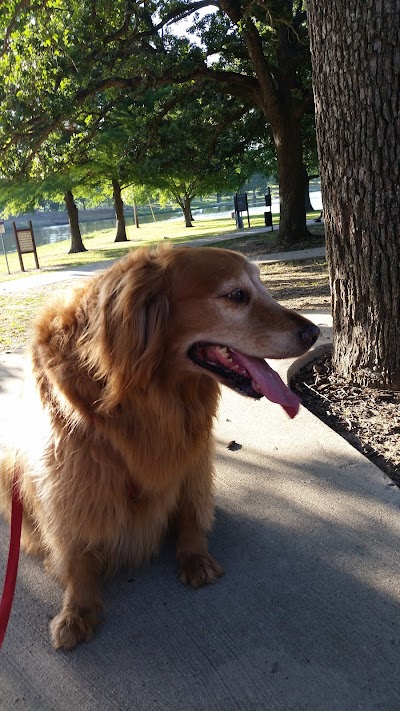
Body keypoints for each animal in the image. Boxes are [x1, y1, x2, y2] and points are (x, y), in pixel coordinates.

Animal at [0, 246, 318, 652]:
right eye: (236, 295)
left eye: (261, 287)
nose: (313, 332)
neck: (150, 395)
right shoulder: (71, 469)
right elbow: (73, 547)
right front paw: (78, 608)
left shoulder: (192, 454)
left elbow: (190, 511)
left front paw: (195, 556)